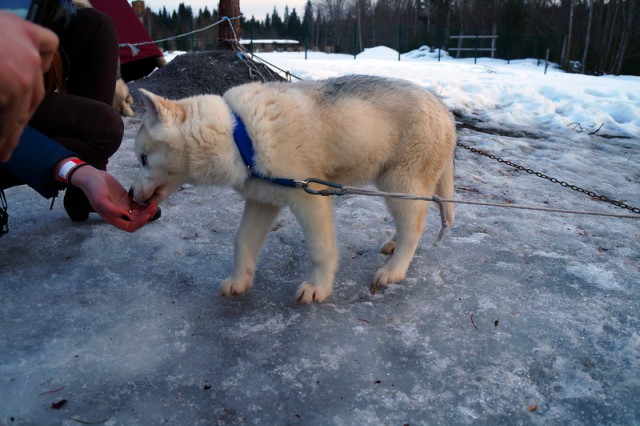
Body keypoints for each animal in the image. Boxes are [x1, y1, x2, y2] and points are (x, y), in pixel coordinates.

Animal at [131, 75, 456, 302]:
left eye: (143, 158)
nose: (131, 195)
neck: (240, 134)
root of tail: (445, 110)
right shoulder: (262, 200)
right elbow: (242, 241)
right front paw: (239, 281)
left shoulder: (309, 198)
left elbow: (321, 250)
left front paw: (318, 288)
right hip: (393, 187)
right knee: (411, 223)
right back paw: (393, 244)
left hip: (400, 183)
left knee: (414, 228)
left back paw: (394, 270)